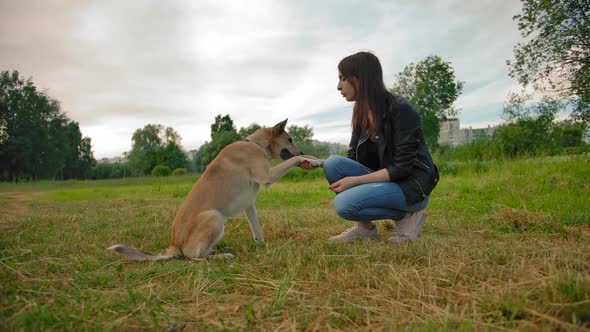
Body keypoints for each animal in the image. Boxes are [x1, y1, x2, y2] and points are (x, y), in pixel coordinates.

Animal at [109, 119, 326, 262]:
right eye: (289, 140)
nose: (300, 149)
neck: (257, 145)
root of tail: (173, 246)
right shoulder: (267, 176)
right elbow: (293, 160)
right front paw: (310, 159)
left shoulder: (249, 205)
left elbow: (257, 229)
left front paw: (315, 158)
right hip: (214, 217)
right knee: (193, 256)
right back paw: (222, 256)